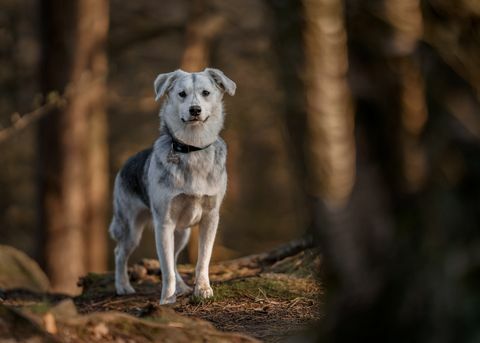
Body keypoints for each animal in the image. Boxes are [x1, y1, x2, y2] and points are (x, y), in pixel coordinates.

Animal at [109, 68, 236, 306]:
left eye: (206, 93)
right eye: (181, 94)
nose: (195, 110)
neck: (192, 147)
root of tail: (126, 162)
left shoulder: (210, 217)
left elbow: (202, 260)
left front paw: (202, 289)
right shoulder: (164, 222)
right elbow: (165, 267)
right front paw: (167, 299)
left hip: (182, 233)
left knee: (175, 259)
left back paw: (182, 287)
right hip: (131, 228)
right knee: (120, 252)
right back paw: (123, 286)